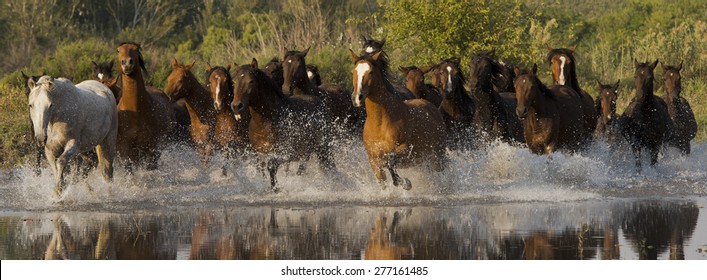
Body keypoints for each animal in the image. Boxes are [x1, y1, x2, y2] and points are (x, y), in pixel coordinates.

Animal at [115, 41, 176, 173]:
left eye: (137, 50)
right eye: (118, 50)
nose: (127, 63)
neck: (135, 111)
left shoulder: (151, 149)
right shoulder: (124, 151)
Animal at [228, 58, 336, 191]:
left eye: (251, 81)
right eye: (234, 81)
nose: (236, 106)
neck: (264, 122)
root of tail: (320, 102)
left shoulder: (286, 153)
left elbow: (271, 165)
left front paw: (276, 188)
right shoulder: (260, 154)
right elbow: (261, 170)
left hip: (323, 148)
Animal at [350, 49, 446, 190]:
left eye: (371, 72)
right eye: (353, 71)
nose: (357, 97)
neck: (380, 123)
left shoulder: (405, 150)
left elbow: (391, 161)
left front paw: (405, 183)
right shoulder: (373, 159)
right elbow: (382, 180)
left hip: (438, 155)